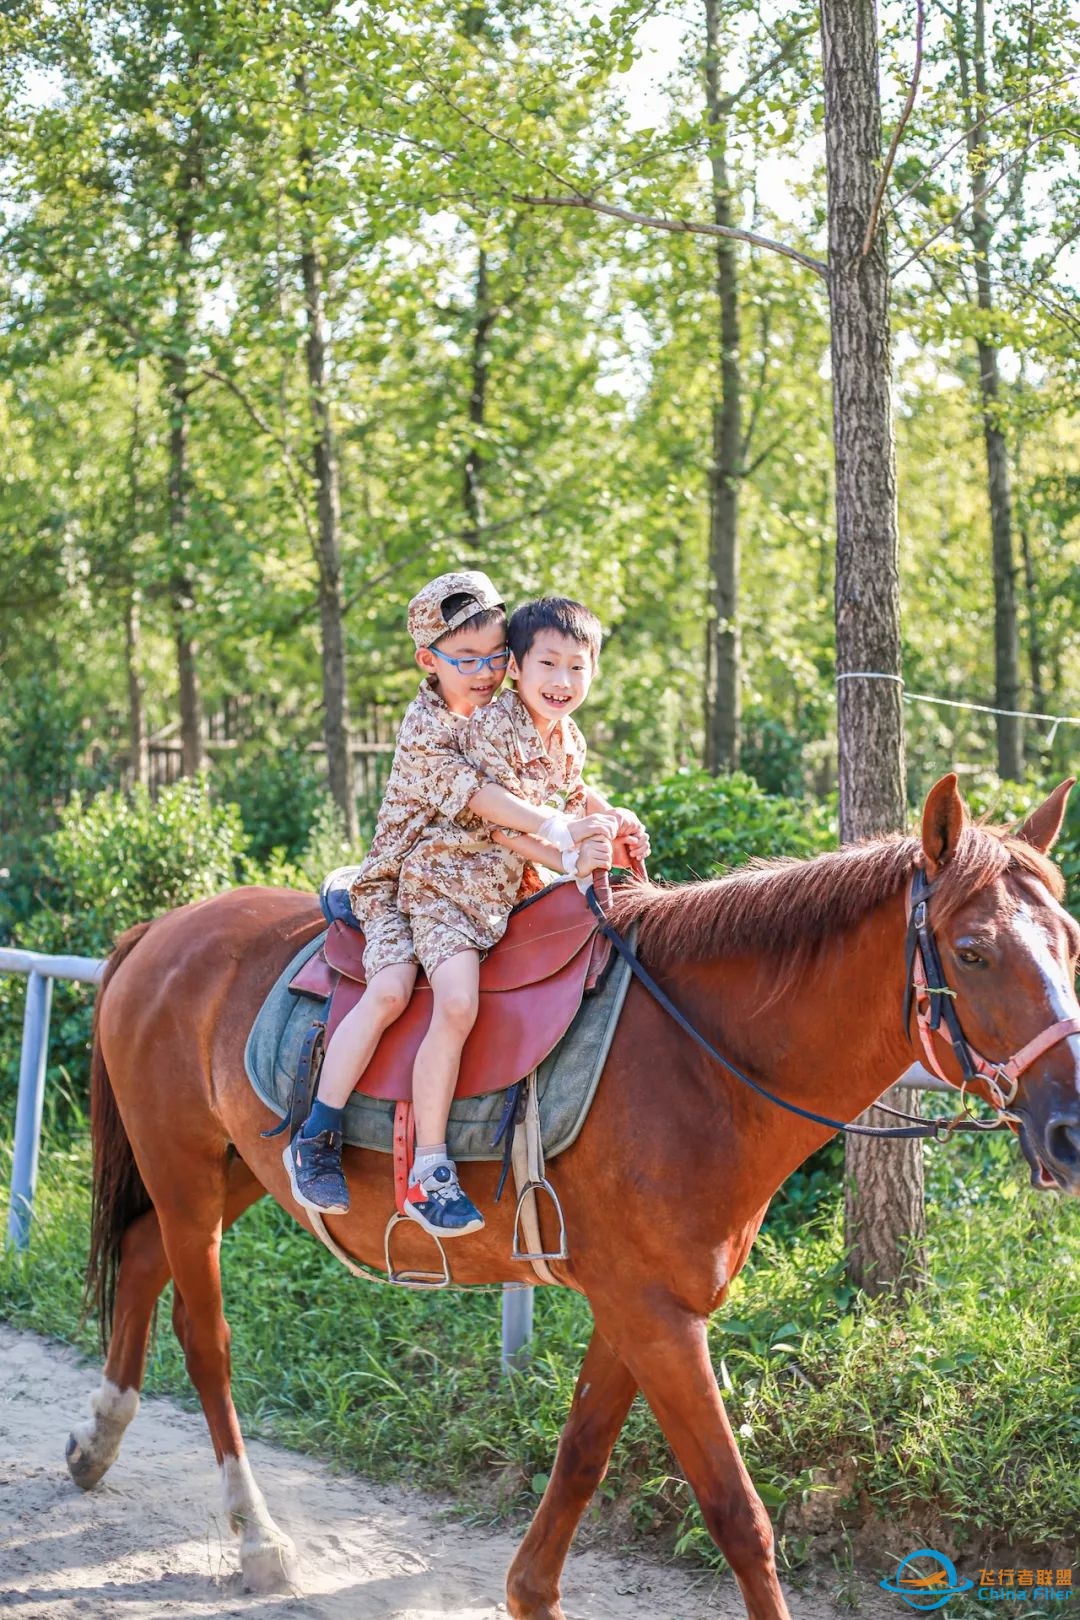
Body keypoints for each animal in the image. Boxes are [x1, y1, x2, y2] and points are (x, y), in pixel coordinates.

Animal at [65, 777, 1080, 1613]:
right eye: (974, 951)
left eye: (1068, 942)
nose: (1071, 1128)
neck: (701, 1061)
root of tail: (160, 932)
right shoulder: (655, 1315)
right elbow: (736, 1513)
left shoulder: (641, 1307)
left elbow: (581, 1457)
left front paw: (531, 1590)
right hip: (187, 1174)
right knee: (205, 1337)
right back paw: (257, 1536)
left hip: (236, 1170)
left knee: (144, 1259)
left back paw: (98, 1440)